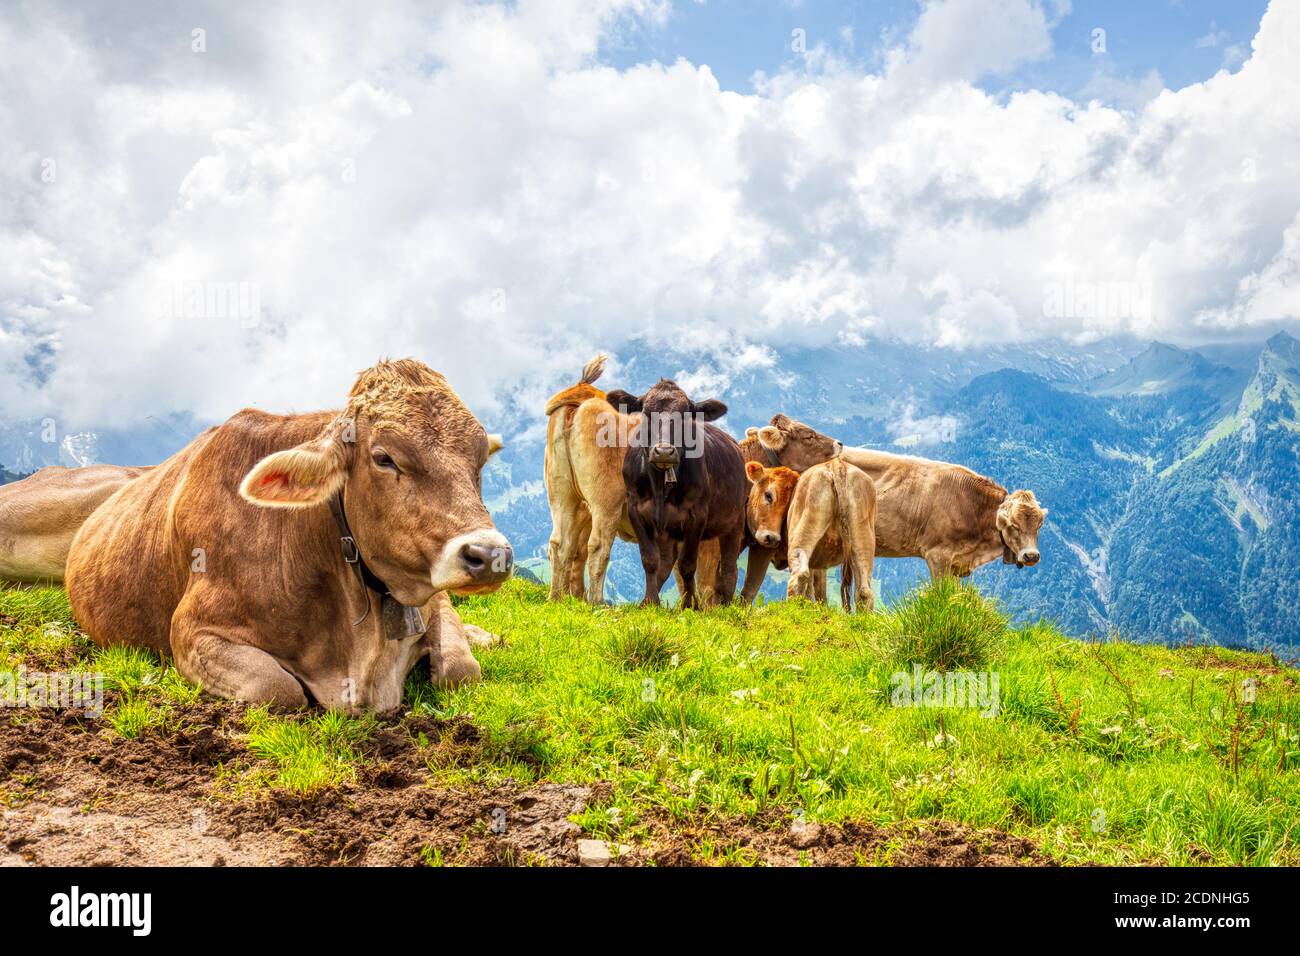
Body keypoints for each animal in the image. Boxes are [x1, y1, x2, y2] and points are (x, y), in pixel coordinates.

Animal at [64, 359, 512, 712]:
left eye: (478, 461)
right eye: (384, 458)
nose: (489, 555)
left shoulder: (435, 601)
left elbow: (460, 670)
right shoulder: (193, 631)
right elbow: (279, 689)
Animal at [603, 379, 746, 609]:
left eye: (685, 415)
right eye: (646, 413)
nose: (664, 452)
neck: (660, 485)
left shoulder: (697, 515)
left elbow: (687, 564)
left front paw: (689, 605)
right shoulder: (636, 509)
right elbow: (650, 560)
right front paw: (650, 602)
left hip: (735, 521)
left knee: (729, 568)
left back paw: (725, 604)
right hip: (668, 531)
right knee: (666, 563)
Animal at [743, 458, 877, 611]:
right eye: (768, 496)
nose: (771, 538)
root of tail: (836, 464)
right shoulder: (818, 563)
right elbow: (818, 591)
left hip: (803, 533)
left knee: (799, 575)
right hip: (863, 539)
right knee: (864, 590)